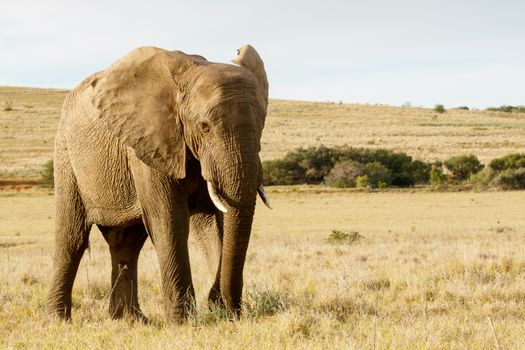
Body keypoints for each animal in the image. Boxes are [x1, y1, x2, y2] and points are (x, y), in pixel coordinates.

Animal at [46, 44, 270, 322]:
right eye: (204, 126)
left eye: (262, 124)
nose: (225, 305)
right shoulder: (150, 144)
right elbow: (170, 219)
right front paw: (182, 322)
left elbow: (212, 222)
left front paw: (220, 313)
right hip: (66, 155)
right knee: (72, 237)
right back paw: (56, 320)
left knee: (127, 242)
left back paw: (129, 320)